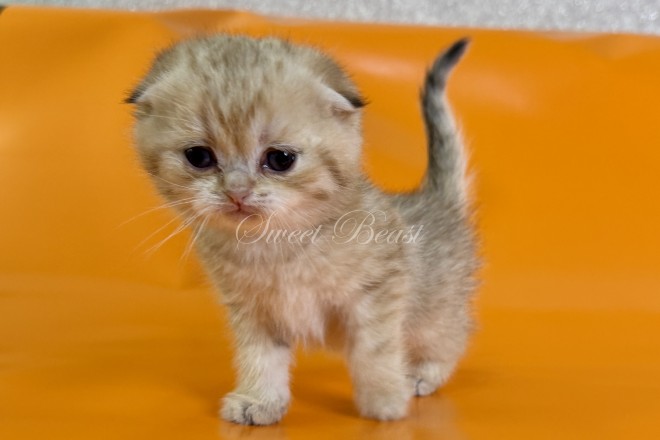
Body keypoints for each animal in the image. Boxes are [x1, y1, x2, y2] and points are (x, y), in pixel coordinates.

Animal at [127, 34, 478, 425]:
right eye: (199, 156)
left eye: (280, 159)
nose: (237, 191)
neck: (275, 246)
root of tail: (434, 197)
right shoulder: (251, 310)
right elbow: (260, 357)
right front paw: (259, 400)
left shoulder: (381, 288)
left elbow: (376, 348)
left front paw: (384, 398)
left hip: (434, 309)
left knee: (452, 335)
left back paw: (423, 373)